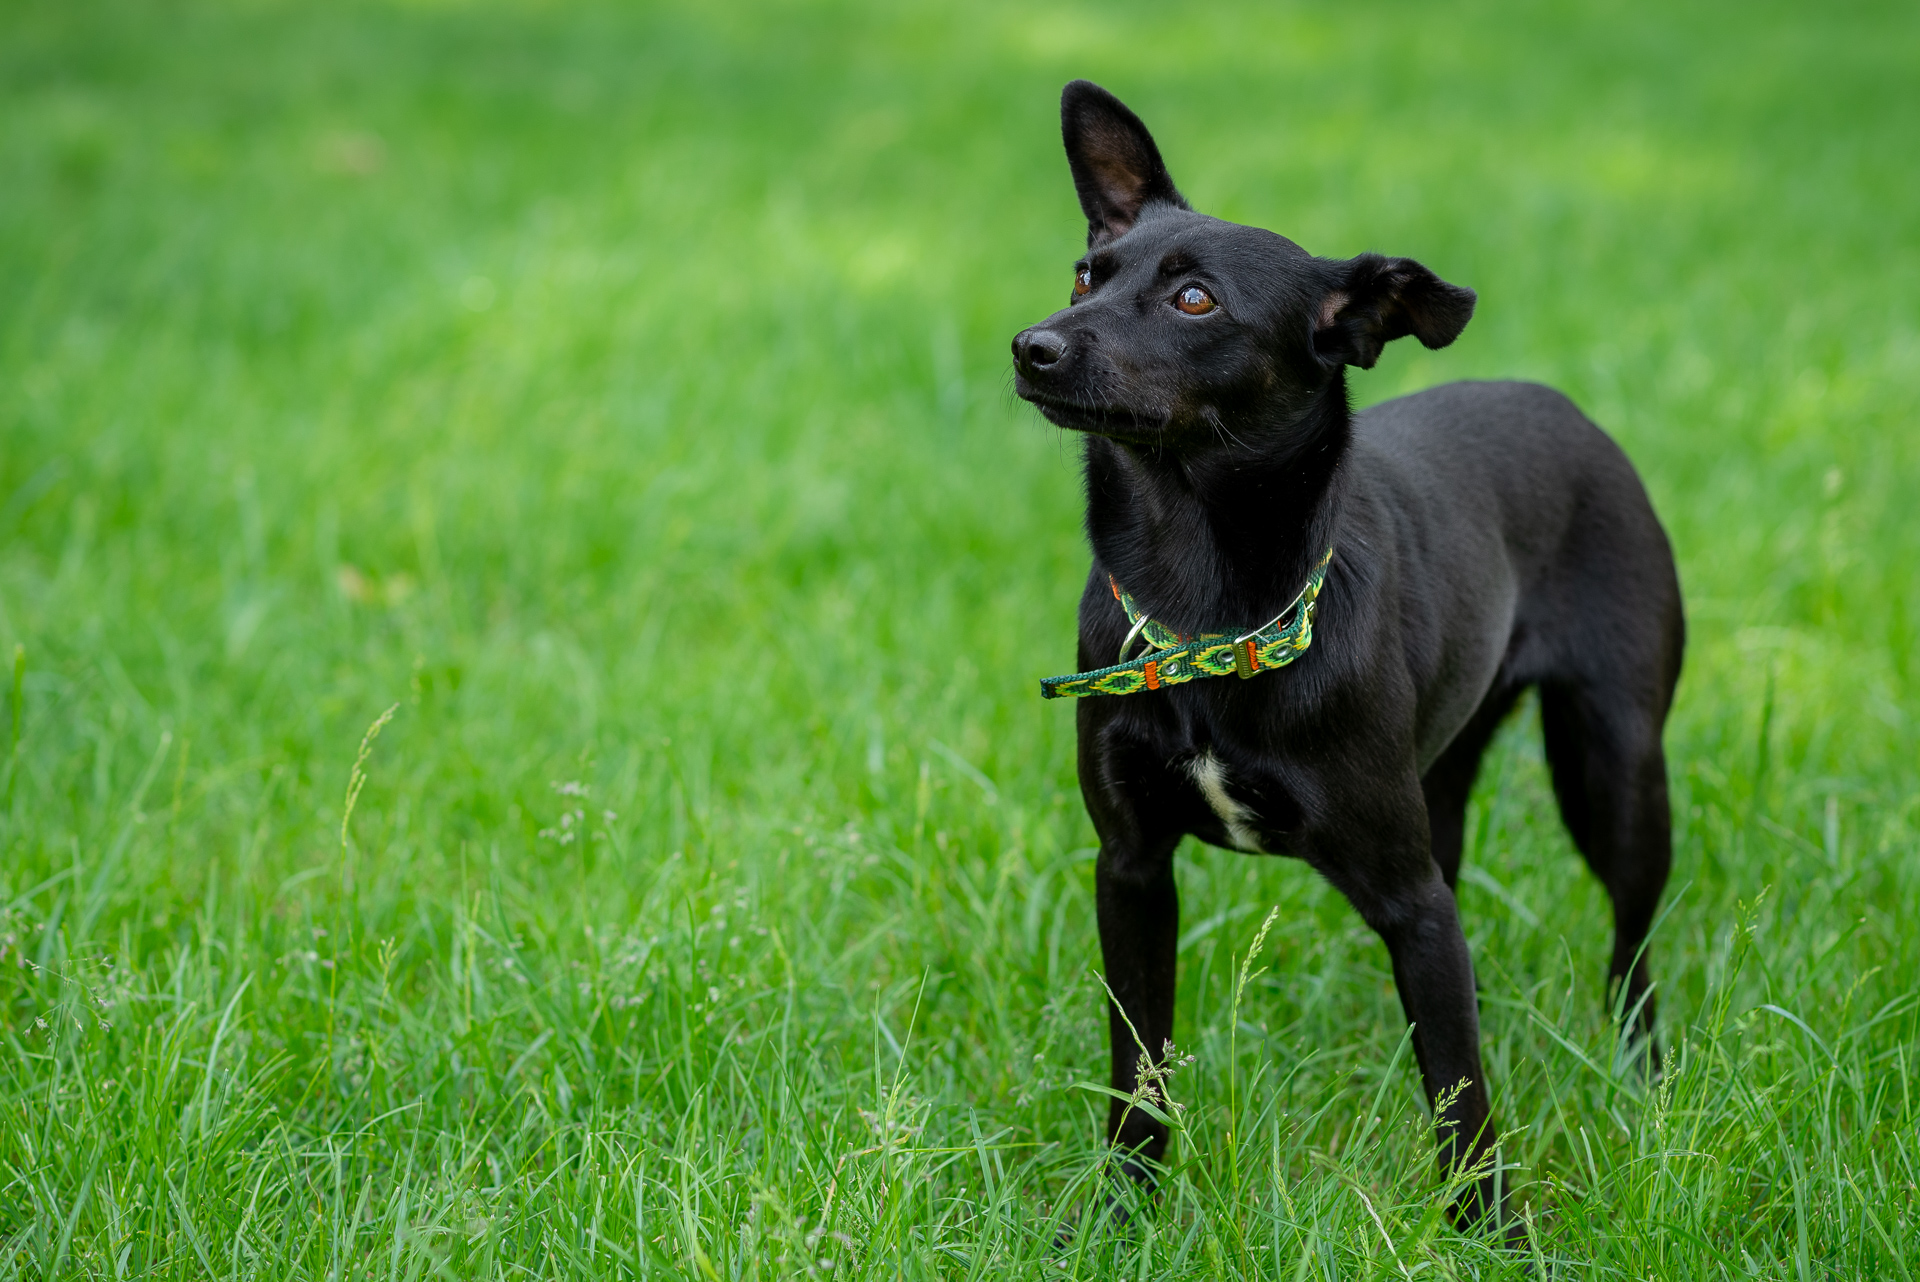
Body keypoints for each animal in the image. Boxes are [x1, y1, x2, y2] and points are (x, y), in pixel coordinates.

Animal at [1013, 84, 1674, 1228]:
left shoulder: (1409, 897)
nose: (1031, 346)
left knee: (1630, 946)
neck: (1204, 613)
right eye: (1087, 273)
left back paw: (1642, 1071)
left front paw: (1493, 1233)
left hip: (1617, 771)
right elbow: (1138, 1067)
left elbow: (1459, 1090)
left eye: (1195, 300)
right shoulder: (1131, 870)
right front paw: (1122, 1213)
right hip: (1446, 786)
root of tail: (1567, 408)